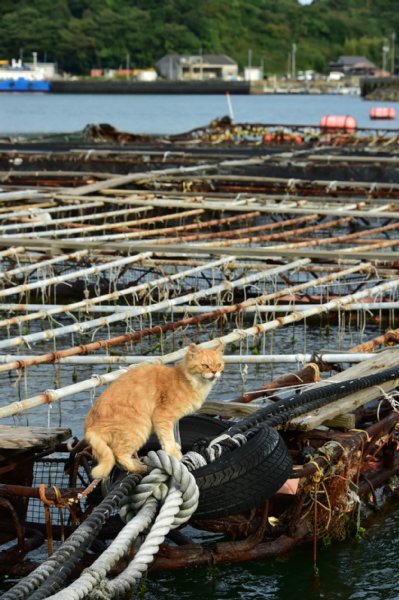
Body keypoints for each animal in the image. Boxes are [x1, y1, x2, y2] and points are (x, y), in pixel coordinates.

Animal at [84, 342, 225, 478]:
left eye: (218, 365)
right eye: (205, 365)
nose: (214, 372)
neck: (187, 380)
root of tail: (89, 427)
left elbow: (171, 437)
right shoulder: (163, 416)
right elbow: (167, 438)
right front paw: (174, 453)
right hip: (139, 427)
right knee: (119, 454)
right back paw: (139, 467)